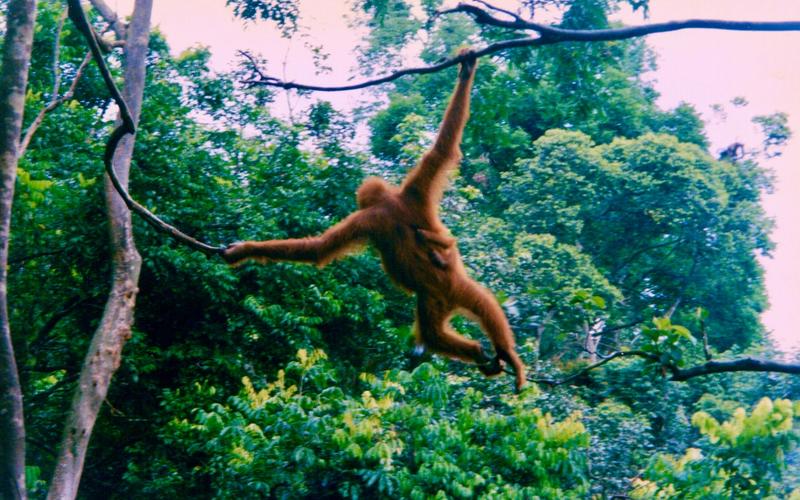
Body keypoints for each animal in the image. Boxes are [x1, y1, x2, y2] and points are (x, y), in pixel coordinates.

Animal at [224, 49, 526, 391]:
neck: (389, 202)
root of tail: (447, 295)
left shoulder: (373, 214)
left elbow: (319, 249)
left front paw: (243, 250)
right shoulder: (413, 193)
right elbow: (441, 150)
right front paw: (467, 70)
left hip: (441, 290)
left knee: (458, 318)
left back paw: (501, 355)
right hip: (444, 293)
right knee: (462, 318)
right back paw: (486, 353)